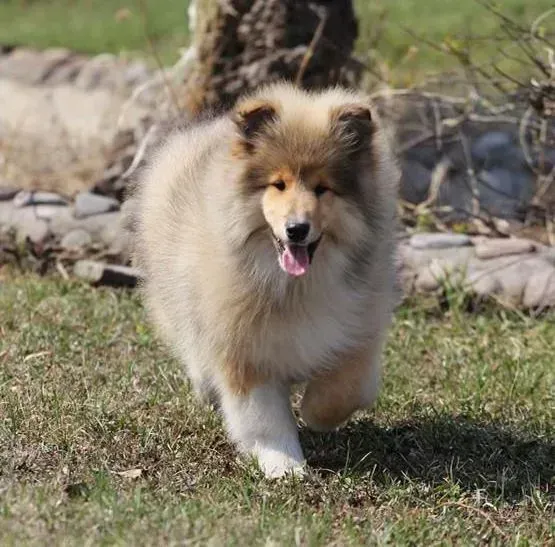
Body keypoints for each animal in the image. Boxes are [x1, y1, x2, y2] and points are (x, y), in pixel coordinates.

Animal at [129, 82, 402, 480]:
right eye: (279, 184)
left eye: (322, 188)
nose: (297, 229)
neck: (296, 288)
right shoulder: (244, 348)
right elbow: (264, 418)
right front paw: (284, 464)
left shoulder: (357, 331)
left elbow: (346, 390)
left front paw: (314, 414)